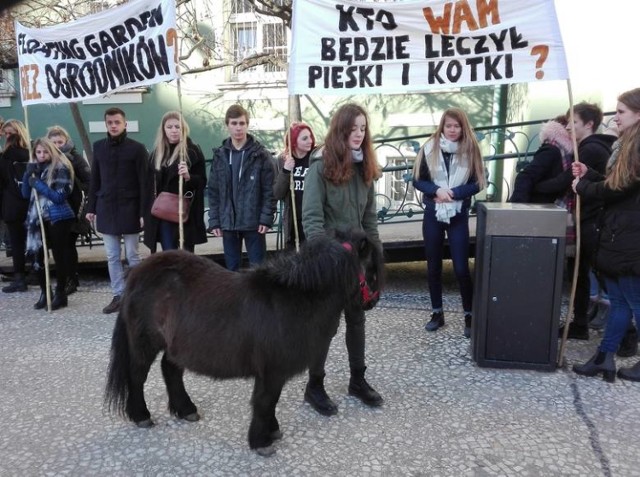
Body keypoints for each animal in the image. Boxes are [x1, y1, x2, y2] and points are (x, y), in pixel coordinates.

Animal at [105, 229, 384, 456]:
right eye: (371, 270)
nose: (372, 302)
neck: (294, 300)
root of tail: (136, 273)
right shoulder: (272, 371)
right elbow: (265, 402)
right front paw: (261, 442)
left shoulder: (272, 373)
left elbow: (269, 402)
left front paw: (272, 431)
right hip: (144, 342)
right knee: (137, 376)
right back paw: (141, 416)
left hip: (176, 345)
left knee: (170, 370)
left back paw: (186, 409)